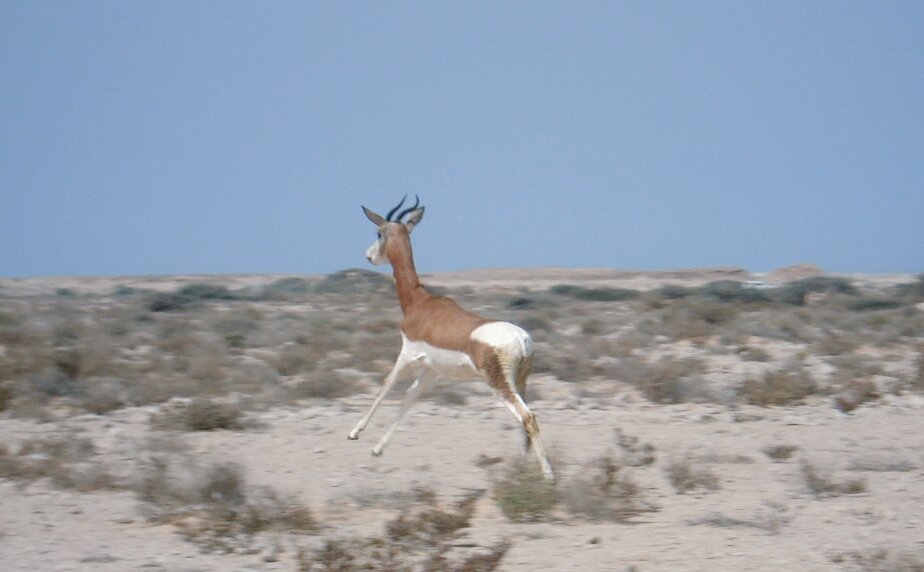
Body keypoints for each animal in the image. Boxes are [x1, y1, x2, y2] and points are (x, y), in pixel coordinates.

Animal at [348, 196, 555, 481]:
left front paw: (354, 433)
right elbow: (408, 400)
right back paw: (522, 468)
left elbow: (385, 388)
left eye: (379, 232)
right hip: (520, 383)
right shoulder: (431, 370)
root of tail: (521, 339)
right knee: (525, 421)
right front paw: (378, 449)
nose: (368, 256)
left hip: (499, 385)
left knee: (528, 418)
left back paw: (548, 476)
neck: (419, 303)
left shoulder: (407, 355)